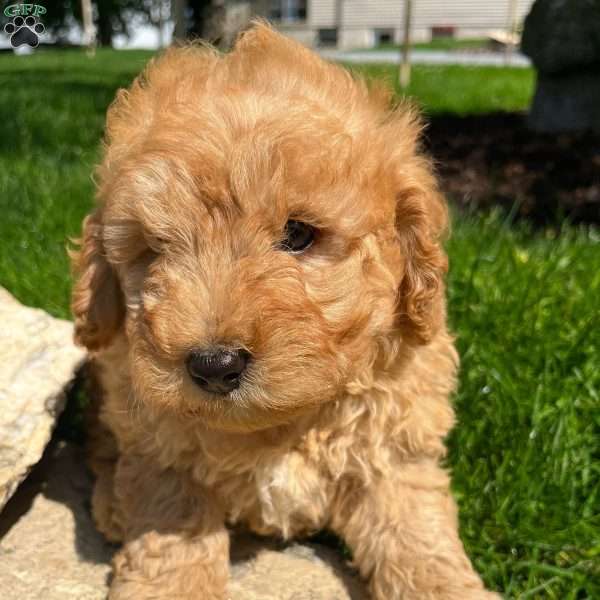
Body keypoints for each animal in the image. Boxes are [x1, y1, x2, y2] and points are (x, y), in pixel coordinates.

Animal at [71, 22, 496, 600]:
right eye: (155, 248)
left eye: (298, 234)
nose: (214, 365)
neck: (285, 422)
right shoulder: (164, 454)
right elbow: (172, 538)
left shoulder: (392, 452)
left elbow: (416, 539)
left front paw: (444, 584)